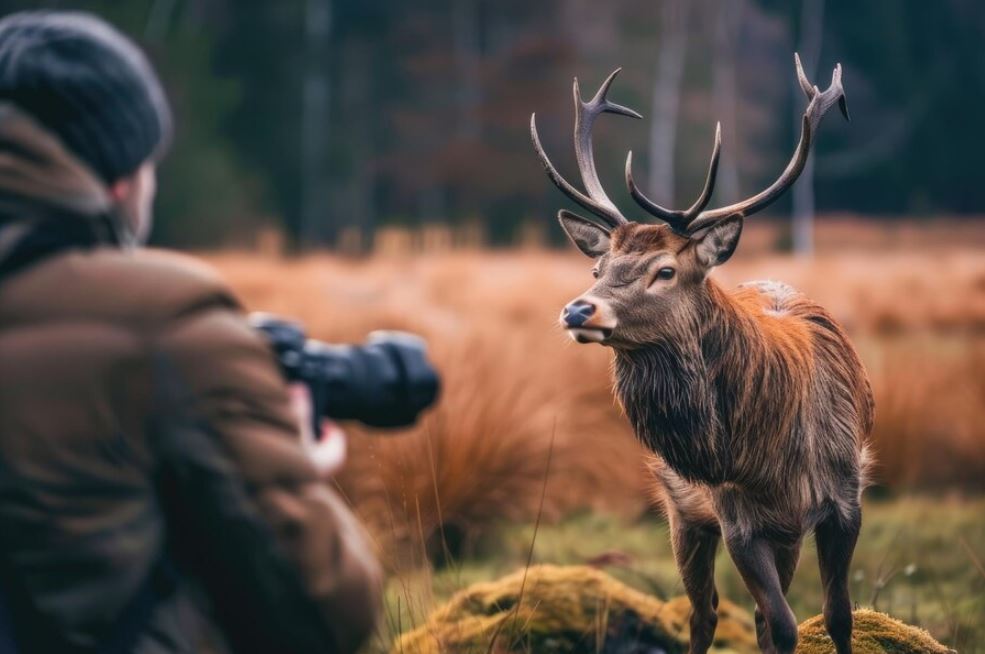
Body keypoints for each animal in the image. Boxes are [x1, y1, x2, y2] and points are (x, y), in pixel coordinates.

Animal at [536, 56, 872, 654]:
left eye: (665, 270)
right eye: (598, 268)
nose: (578, 310)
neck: (773, 455)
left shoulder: (845, 499)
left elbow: (836, 615)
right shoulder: (734, 514)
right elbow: (782, 623)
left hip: (783, 530)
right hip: (682, 512)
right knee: (705, 613)